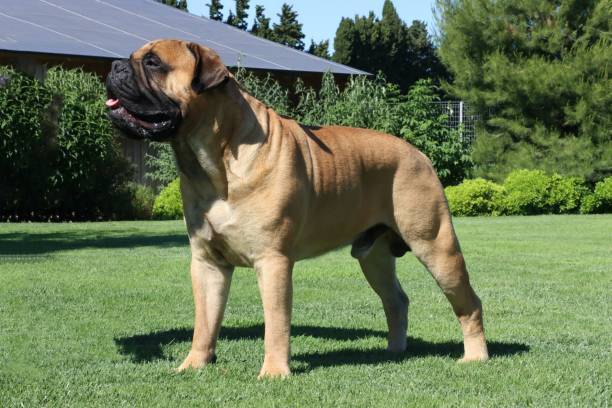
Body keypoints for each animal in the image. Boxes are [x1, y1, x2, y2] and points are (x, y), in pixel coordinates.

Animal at [104, 39, 488, 378]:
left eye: (153, 62)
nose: (115, 66)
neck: (216, 161)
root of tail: (418, 153)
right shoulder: (207, 263)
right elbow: (205, 322)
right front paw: (194, 365)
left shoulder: (273, 261)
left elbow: (276, 323)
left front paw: (274, 372)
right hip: (374, 257)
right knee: (396, 300)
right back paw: (394, 351)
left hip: (436, 246)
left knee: (468, 303)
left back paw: (475, 356)